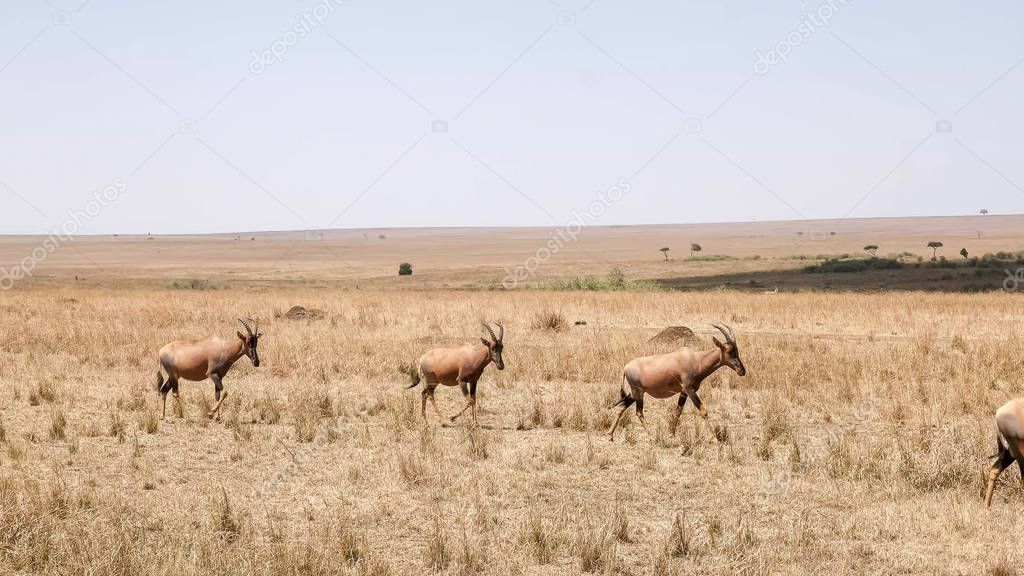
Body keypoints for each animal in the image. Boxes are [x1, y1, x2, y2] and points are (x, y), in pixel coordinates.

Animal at [606, 323, 745, 438]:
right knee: (639, 412)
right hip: (638, 392)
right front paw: (714, 438)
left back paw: (610, 435)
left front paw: (672, 434)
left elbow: (678, 411)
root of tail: (626, 367)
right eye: (729, 351)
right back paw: (650, 436)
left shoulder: (683, 391)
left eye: (737, 350)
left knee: (622, 407)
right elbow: (703, 411)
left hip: (634, 393)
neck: (695, 359)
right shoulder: (690, 390)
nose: (742, 371)